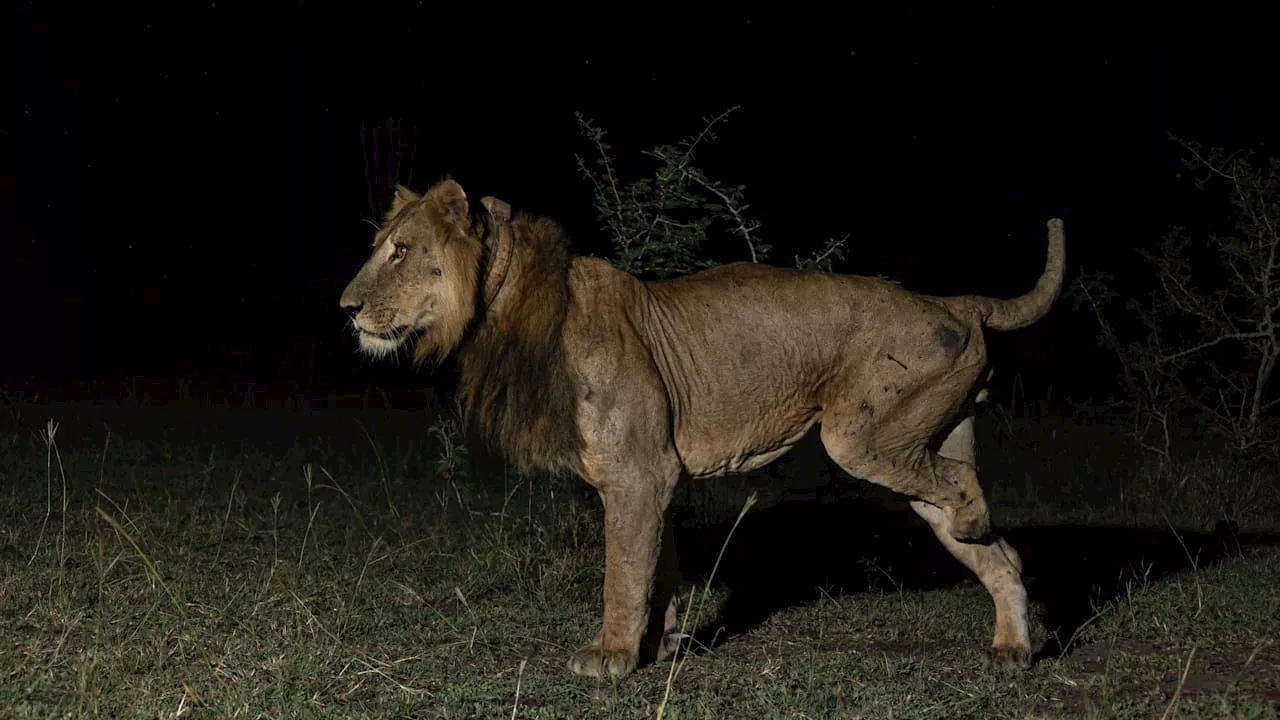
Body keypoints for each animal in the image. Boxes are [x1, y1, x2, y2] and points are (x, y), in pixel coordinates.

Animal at [337, 176, 1059, 676]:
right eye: (379, 248)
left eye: (400, 251)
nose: (345, 308)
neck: (507, 307)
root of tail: (952, 301)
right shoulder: (654, 478)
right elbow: (658, 568)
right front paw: (659, 644)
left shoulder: (638, 474)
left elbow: (623, 572)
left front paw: (612, 656)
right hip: (916, 443)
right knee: (999, 551)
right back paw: (1012, 648)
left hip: (863, 437)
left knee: (964, 487)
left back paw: (977, 526)